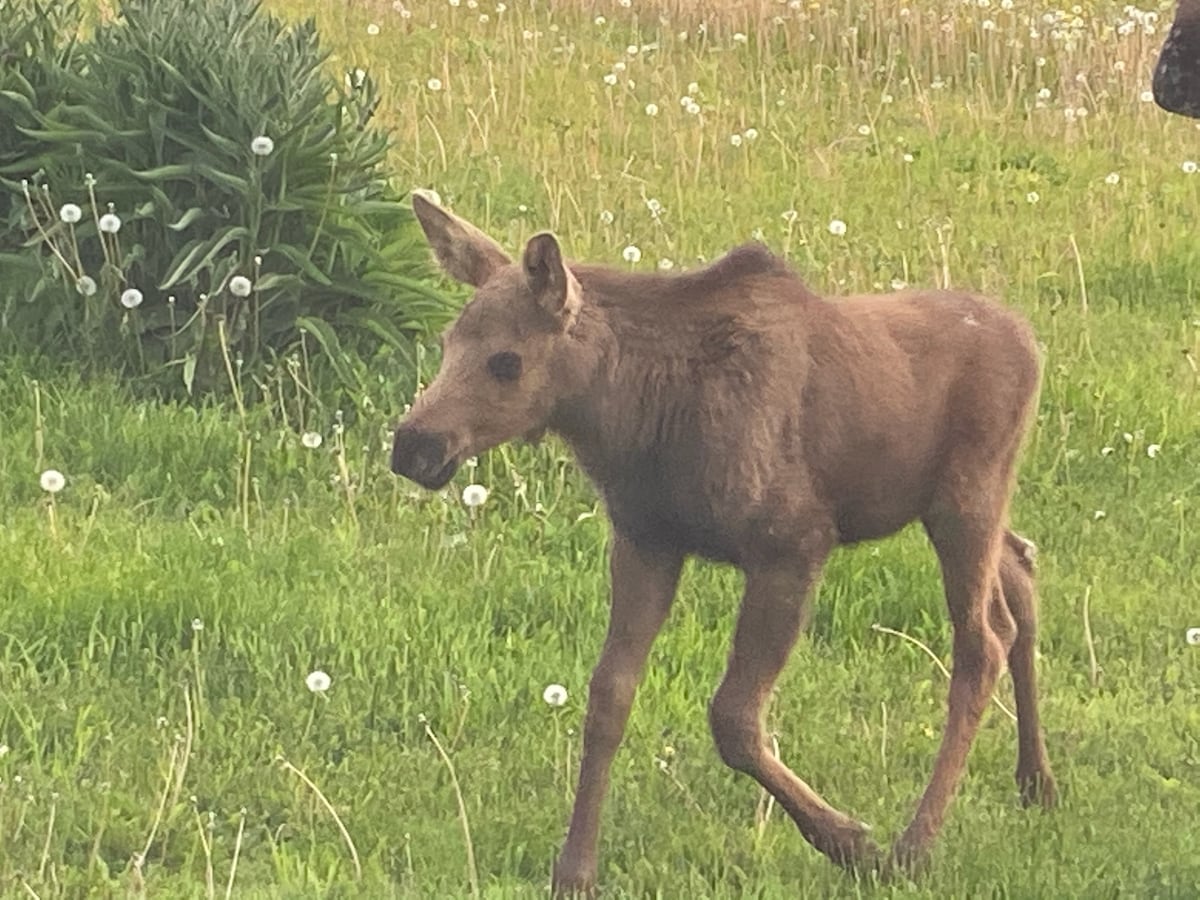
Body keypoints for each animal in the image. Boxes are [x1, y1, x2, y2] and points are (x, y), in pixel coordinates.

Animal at [388, 194, 1056, 897]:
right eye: (446, 344)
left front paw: (847, 840)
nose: (413, 445)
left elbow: (733, 718)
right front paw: (575, 868)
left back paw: (915, 844)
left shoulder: (792, 543)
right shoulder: (647, 539)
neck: (631, 419)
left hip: (966, 493)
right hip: (966, 501)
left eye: (506, 361)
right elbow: (607, 697)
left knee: (981, 641)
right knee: (1021, 573)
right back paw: (1036, 781)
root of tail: (1029, 338)